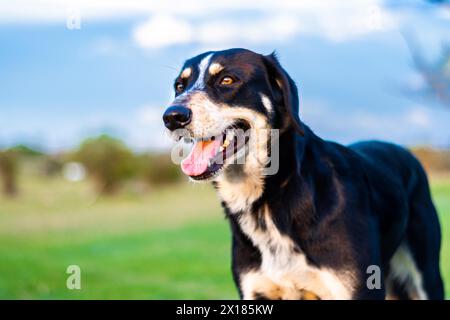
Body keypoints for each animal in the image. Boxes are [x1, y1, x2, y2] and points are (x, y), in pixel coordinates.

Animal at [161, 48, 442, 300]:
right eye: (179, 86)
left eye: (227, 80)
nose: (172, 117)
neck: (272, 198)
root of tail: (402, 149)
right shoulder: (256, 291)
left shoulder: (358, 288)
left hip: (426, 273)